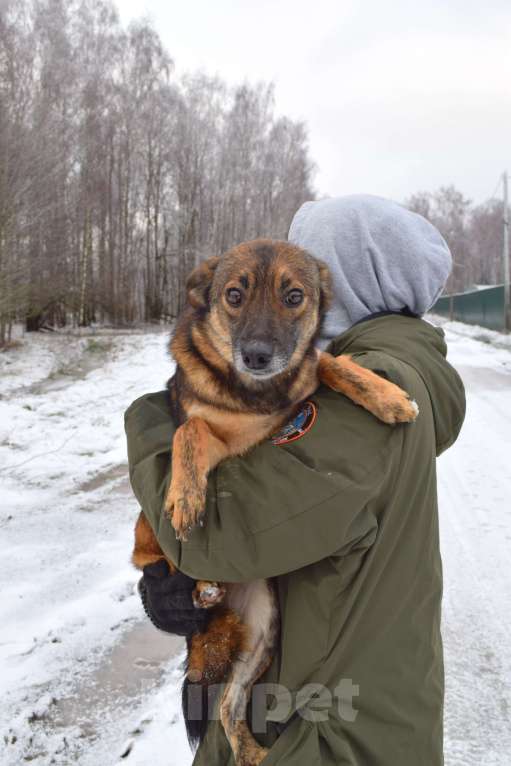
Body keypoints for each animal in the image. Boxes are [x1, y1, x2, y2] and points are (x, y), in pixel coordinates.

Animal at [130, 237, 418, 764]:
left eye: (294, 297)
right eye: (234, 295)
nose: (258, 356)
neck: (257, 396)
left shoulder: (299, 387)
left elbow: (327, 362)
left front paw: (384, 394)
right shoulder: (215, 440)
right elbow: (190, 428)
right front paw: (185, 495)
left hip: (262, 635)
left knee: (228, 707)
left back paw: (253, 752)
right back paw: (199, 585)